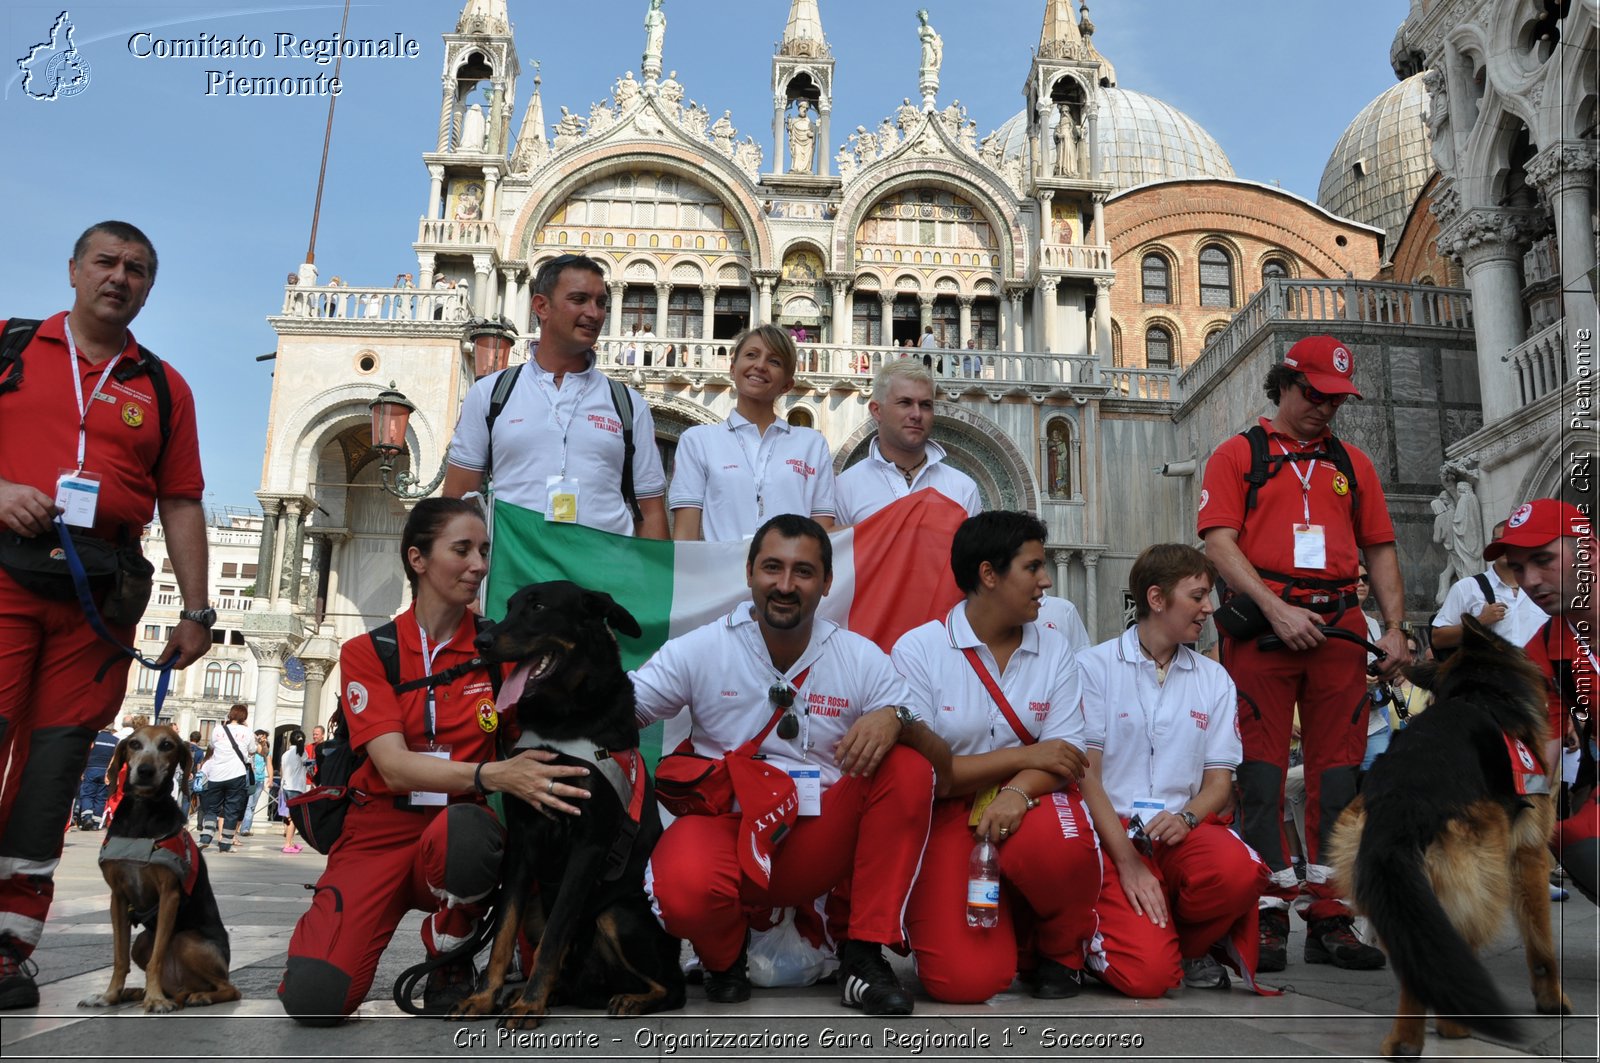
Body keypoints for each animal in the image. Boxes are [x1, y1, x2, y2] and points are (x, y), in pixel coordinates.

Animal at [78, 723, 240, 1011]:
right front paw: (109, 995)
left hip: (189, 940)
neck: (142, 812)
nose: (144, 771)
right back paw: (134, 992)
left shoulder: (169, 895)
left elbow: (158, 957)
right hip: (142, 943)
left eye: (167, 745)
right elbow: (119, 957)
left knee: (229, 988)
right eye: (134, 744)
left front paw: (155, 1000)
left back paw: (198, 996)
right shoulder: (118, 898)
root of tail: (182, 987)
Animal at [448, 582, 684, 1030]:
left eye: (539, 606)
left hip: (618, 914)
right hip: (538, 903)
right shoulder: (522, 841)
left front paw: (529, 1006)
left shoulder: (589, 843)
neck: (561, 721)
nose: (481, 642)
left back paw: (628, 999)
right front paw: (485, 998)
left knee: (669, 985)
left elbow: (556, 933)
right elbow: (503, 932)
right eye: (510, 607)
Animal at [1324, 614, 1574, 1056]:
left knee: (1420, 956)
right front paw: (1552, 1001)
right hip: (1481, 880)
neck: (1480, 691)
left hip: (1396, 890)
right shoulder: (1528, 855)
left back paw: (1407, 1041)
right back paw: (1452, 1025)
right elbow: (1542, 945)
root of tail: (1402, 801)